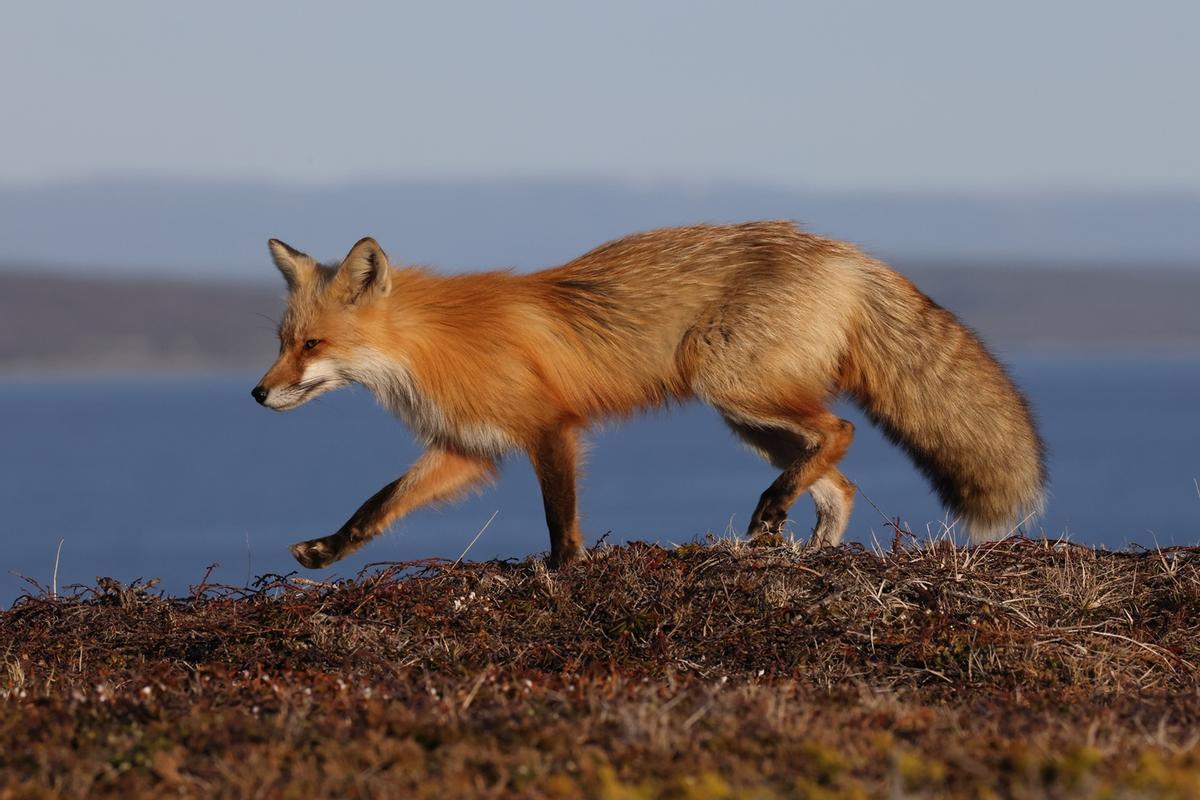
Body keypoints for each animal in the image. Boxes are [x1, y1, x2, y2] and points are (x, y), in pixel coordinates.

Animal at [252, 221, 1045, 569]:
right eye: (282, 339)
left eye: (311, 346)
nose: (257, 394)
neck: (432, 345)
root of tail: (843, 251)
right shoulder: (465, 449)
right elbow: (376, 505)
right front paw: (328, 550)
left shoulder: (549, 428)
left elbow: (560, 516)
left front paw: (563, 572)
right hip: (747, 415)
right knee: (838, 480)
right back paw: (807, 552)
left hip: (729, 380)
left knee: (840, 433)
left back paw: (775, 518)